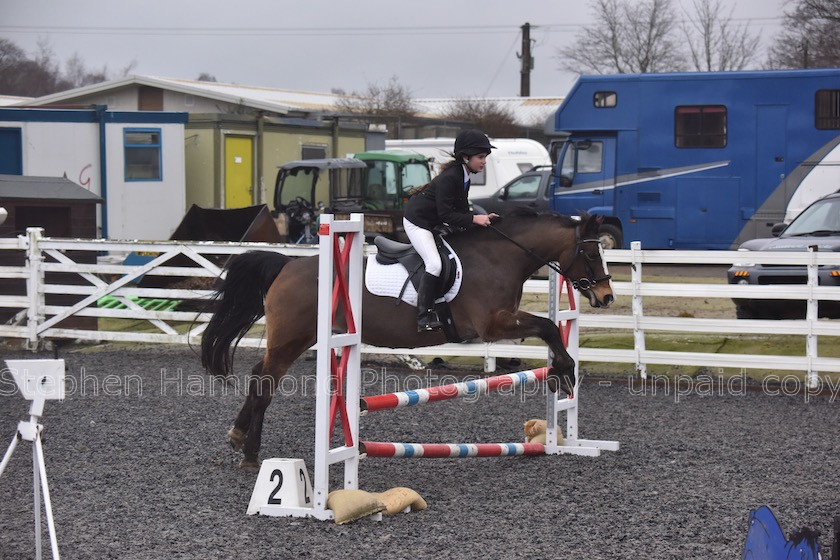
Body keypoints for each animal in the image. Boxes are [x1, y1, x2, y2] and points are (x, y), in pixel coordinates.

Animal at [200, 210, 612, 468]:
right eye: (592, 252)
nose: (606, 297)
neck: (500, 257)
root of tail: (287, 264)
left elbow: (548, 328)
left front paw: (560, 374)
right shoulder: (492, 325)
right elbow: (547, 327)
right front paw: (564, 373)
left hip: (296, 338)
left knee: (261, 376)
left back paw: (240, 440)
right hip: (291, 338)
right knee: (265, 381)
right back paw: (248, 452)